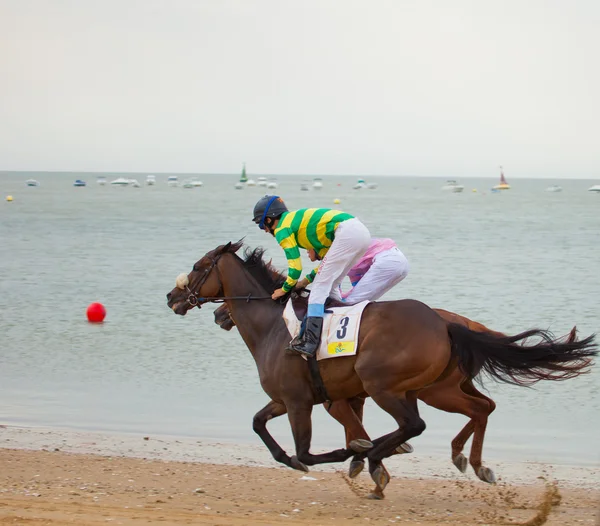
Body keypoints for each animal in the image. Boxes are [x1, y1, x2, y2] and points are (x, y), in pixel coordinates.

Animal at [165, 243, 596, 496]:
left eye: (199, 265)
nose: (171, 296)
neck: (273, 325)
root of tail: (447, 324)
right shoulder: (287, 399)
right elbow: (260, 425)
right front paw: (346, 453)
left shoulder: (301, 400)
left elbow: (309, 448)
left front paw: (355, 452)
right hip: (435, 388)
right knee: (480, 408)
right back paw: (469, 462)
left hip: (389, 385)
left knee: (418, 424)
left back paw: (382, 460)